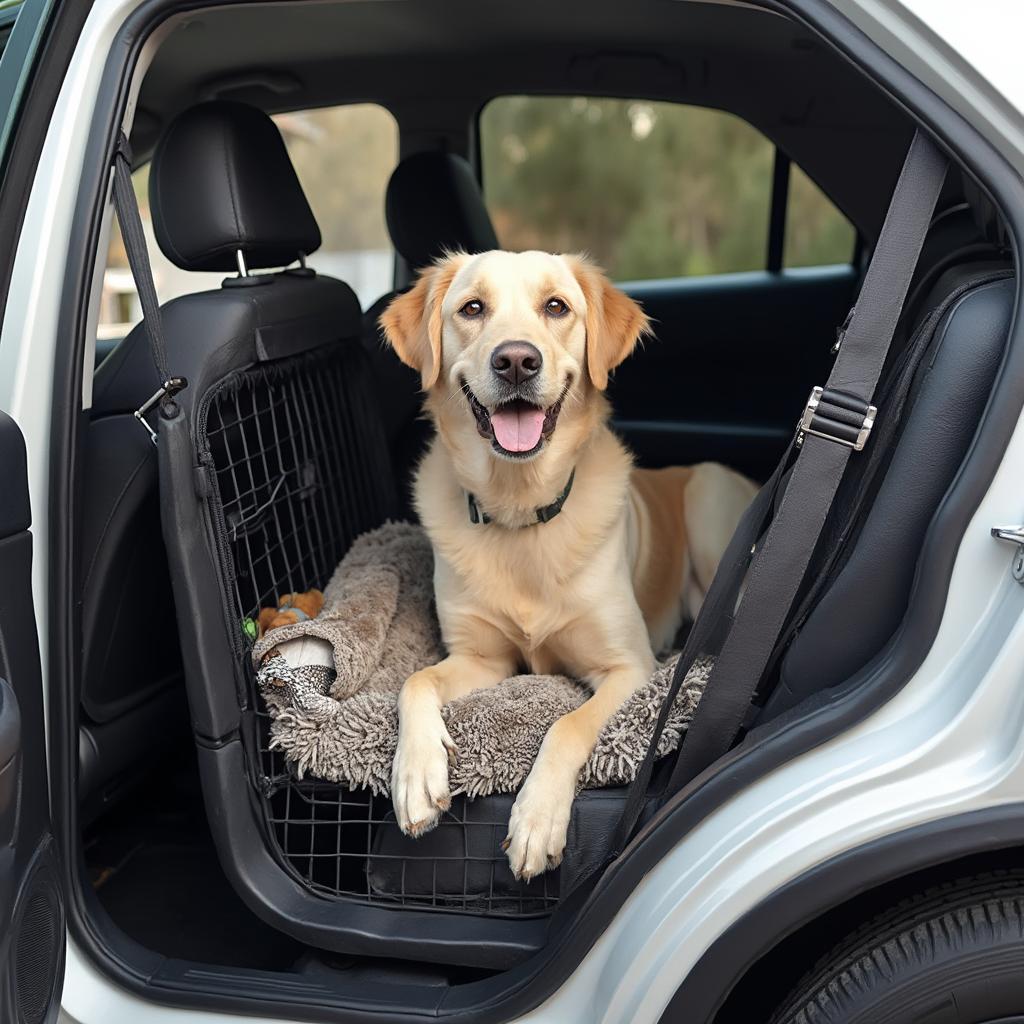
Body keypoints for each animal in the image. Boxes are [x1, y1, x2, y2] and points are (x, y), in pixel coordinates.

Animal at [380, 249, 757, 880]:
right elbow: (416, 680)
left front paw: (536, 820)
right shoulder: (480, 658)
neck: (521, 514)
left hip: (707, 498)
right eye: (471, 308)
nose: (515, 360)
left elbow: (568, 723)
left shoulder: (630, 667)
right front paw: (416, 775)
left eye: (556, 306)